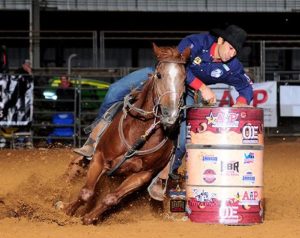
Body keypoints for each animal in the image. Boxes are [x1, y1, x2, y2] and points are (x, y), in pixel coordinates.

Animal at [64, 43, 190, 225]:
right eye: (159, 75)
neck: (141, 134)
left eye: (184, 78)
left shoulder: (143, 175)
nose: (170, 113)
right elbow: (86, 192)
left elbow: (111, 198)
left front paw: (89, 218)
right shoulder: (99, 157)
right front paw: (66, 211)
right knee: (76, 168)